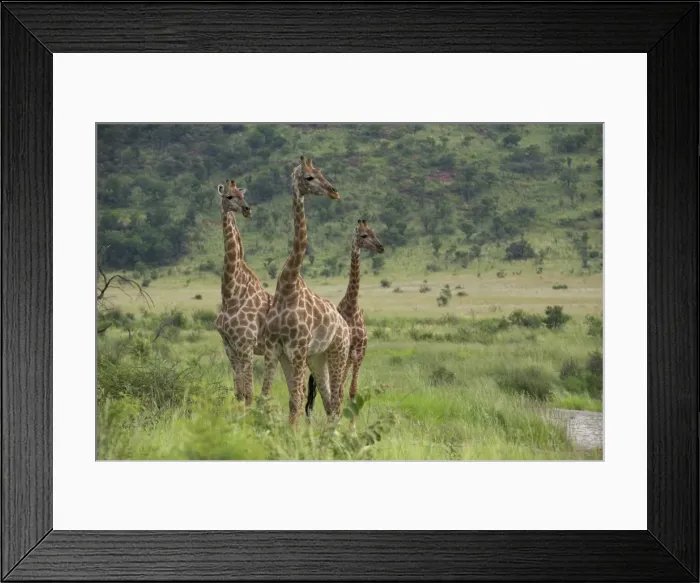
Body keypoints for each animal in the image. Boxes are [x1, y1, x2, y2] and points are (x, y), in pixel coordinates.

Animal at [215, 179, 272, 406]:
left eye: (243, 195)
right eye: (229, 196)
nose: (248, 210)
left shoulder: (246, 345)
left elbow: (248, 393)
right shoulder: (229, 346)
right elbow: (238, 392)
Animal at [261, 156, 351, 425]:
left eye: (321, 172)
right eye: (309, 177)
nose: (334, 191)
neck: (288, 287)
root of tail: (346, 327)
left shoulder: (298, 350)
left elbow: (297, 399)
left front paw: (293, 433)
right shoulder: (275, 349)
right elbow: (266, 395)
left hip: (338, 352)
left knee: (337, 399)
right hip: (317, 359)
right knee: (329, 400)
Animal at [305, 219, 384, 418]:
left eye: (375, 233)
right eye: (363, 235)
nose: (381, 247)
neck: (352, 307)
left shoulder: (359, 353)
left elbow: (352, 392)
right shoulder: (347, 353)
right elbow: (340, 392)